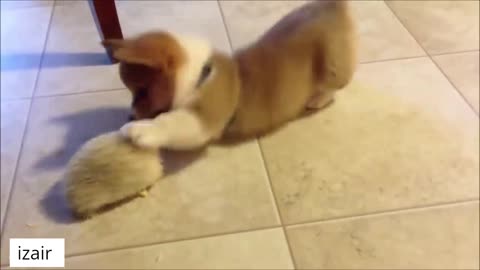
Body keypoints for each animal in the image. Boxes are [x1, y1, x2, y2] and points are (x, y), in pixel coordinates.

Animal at [102, 0, 356, 150]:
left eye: (142, 92)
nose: (130, 116)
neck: (199, 75)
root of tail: (332, 4)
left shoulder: (203, 118)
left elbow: (170, 122)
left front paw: (137, 130)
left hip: (332, 66)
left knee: (335, 86)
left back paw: (317, 99)